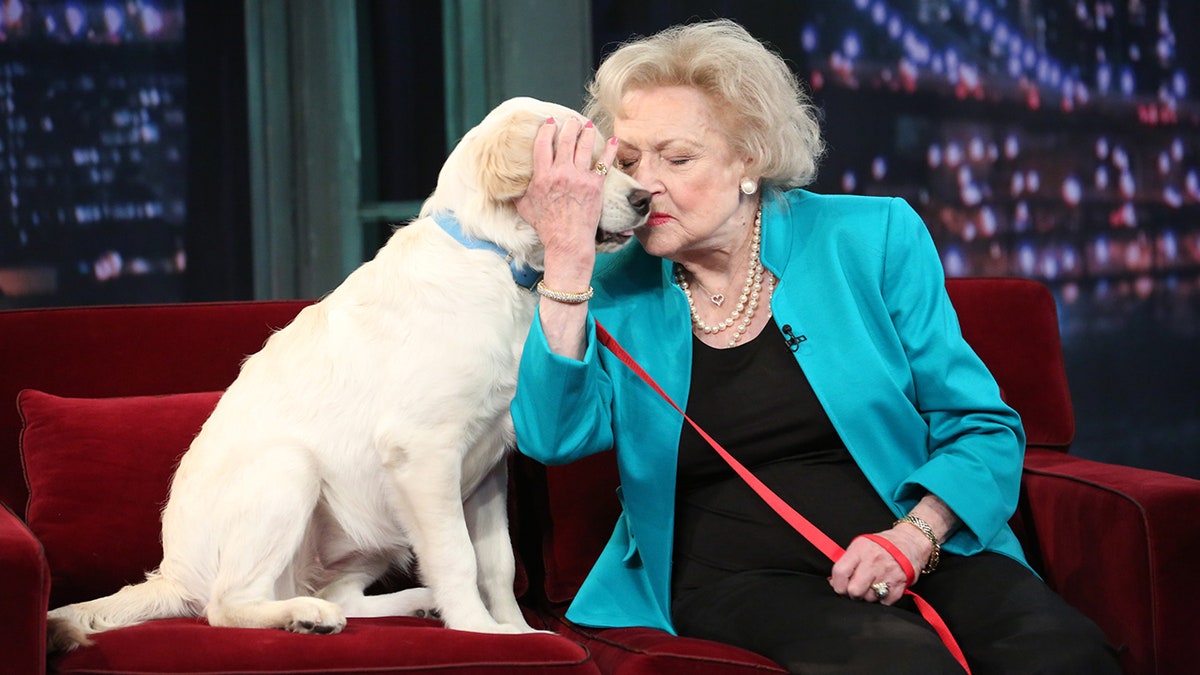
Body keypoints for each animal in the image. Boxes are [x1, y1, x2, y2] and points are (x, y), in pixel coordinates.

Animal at [46, 97, 648, 648]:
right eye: (591, 165)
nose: (646, 199)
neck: (495, 259)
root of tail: (172, 576)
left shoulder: (487, 466)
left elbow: (497, 563)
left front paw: (518, 630)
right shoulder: (423, 453)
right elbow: (458, 557)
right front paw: (480, 632)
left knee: (341, 594)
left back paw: (407, 602)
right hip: (290, 470)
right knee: (228, 604)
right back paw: (306, 616)